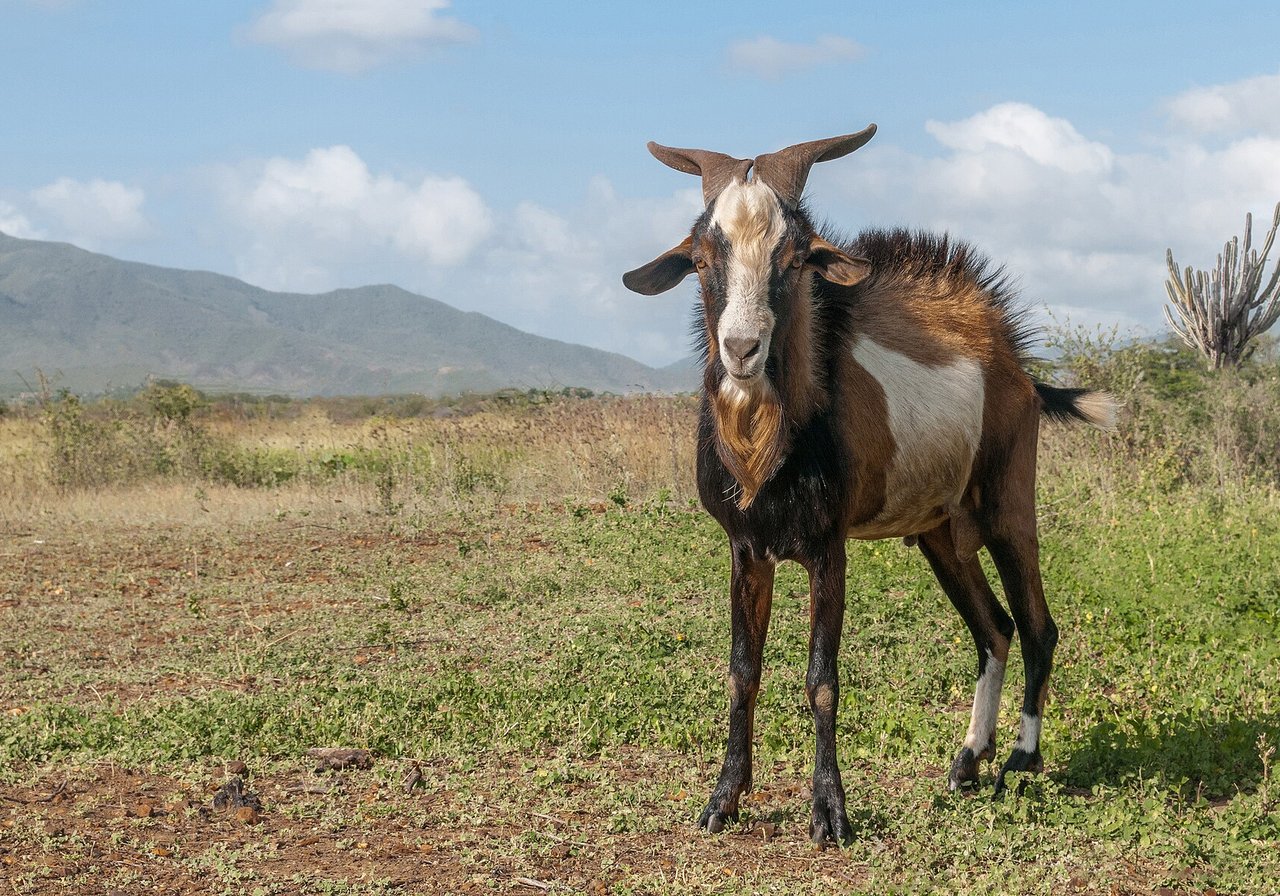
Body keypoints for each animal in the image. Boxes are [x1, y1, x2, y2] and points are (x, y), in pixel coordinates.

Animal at [622, 126, 1115, 845]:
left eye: (796, 257)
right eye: (702, 256)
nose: (742, 350)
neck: (769, 449)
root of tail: (1018, 369)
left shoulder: (829, 547)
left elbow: (821, 677)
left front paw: (830, 812)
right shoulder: (747, 548)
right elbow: (743, 672)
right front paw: (723, 800)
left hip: (1008, 506)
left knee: (1036, 625)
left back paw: (1021, 761)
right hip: (942, 532)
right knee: (993, 629)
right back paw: (968, 762)